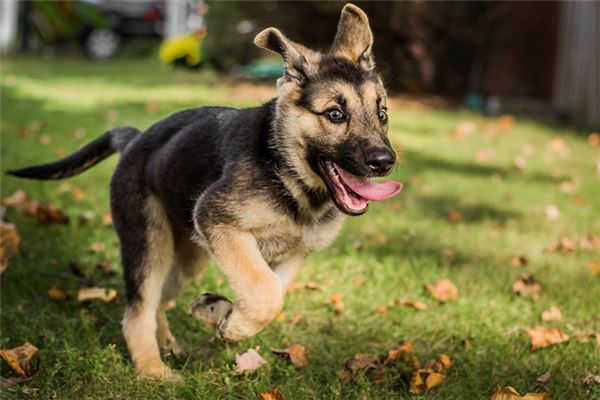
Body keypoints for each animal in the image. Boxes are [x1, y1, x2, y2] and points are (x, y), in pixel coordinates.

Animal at [8, 2, 404, 378]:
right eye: (335, 114)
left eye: (382, 114)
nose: (385, 162)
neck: (287, 173)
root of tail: (135, 139)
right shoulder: (218, 219)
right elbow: (265, 292)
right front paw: (231, 325)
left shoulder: (294, 252)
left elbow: (272, 292)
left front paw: (223, 315)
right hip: (149, 243)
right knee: (138, 310)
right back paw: (154, 371)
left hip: (188, 256)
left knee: (160, 301)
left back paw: (170, 343)